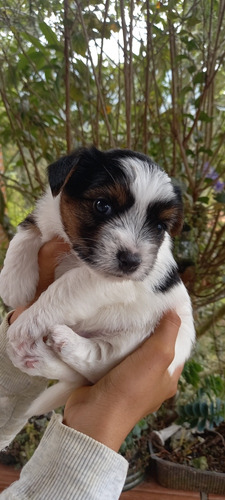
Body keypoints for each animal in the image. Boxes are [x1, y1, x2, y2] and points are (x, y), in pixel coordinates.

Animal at [0, 146, 194, 416]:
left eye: (158, 226)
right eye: (102, 205)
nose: (132, 261)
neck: (76, 252)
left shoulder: (104, 281)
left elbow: (66, 286)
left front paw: (28, 321)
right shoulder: (47, 215)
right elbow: (28, 230)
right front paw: (14, 283)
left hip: (141, 337)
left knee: (97, 362)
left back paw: (66, 343)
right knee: (77, 377)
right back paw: (34, 358)